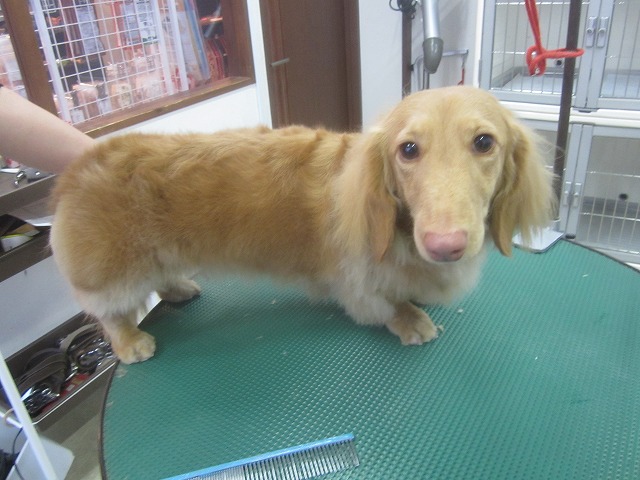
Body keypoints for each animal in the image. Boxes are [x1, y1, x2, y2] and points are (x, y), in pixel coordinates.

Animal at [50, 86, 554, 364]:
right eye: (408, 150)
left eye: (484, 142)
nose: (444, 245)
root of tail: (76, 169)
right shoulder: (359, 286)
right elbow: (388, 304)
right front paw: (412, 319)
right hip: (115, 273)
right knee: (111, 314)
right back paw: (131, 342)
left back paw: (177, 288)